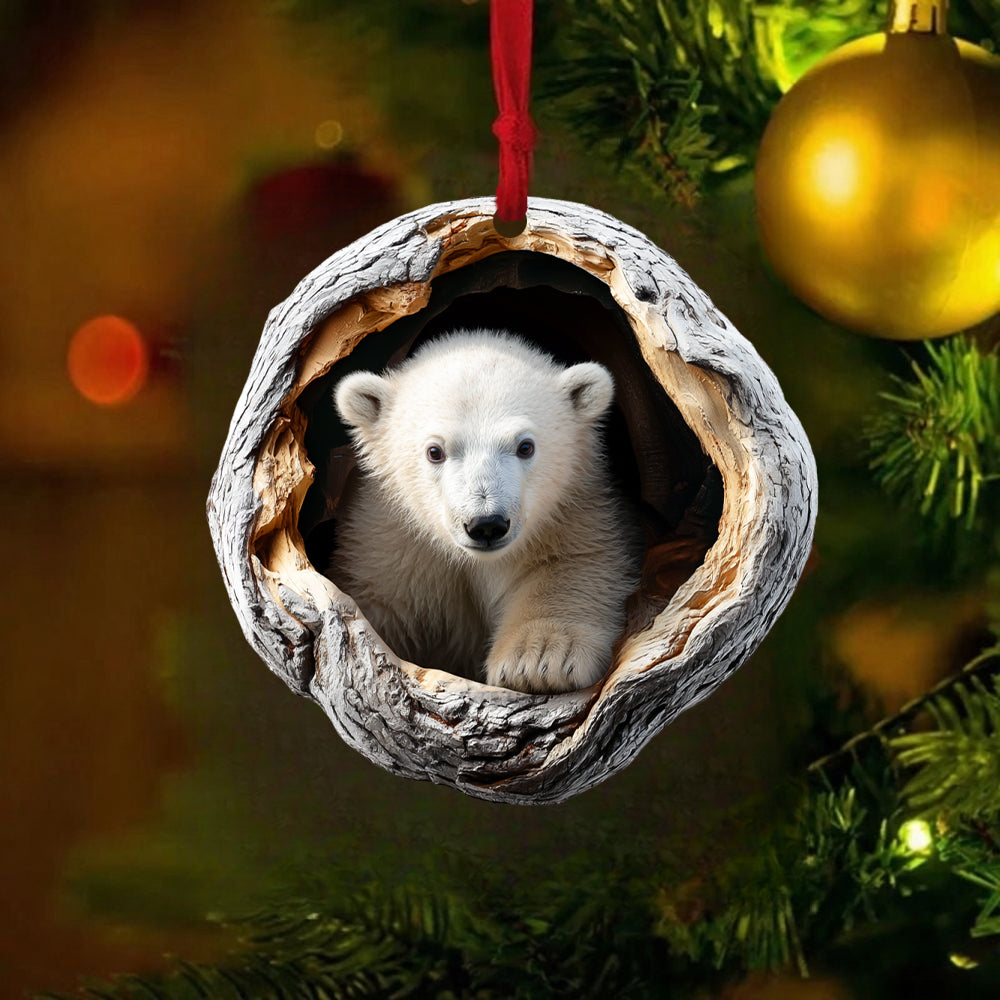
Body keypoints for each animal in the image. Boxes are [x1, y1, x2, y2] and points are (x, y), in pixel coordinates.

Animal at [328, 329, 641, 694]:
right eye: (435, 451)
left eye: (525, 446)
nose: (486, 523)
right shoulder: (390, 542)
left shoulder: (576, 512)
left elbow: (574, 566)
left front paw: (538, 660)